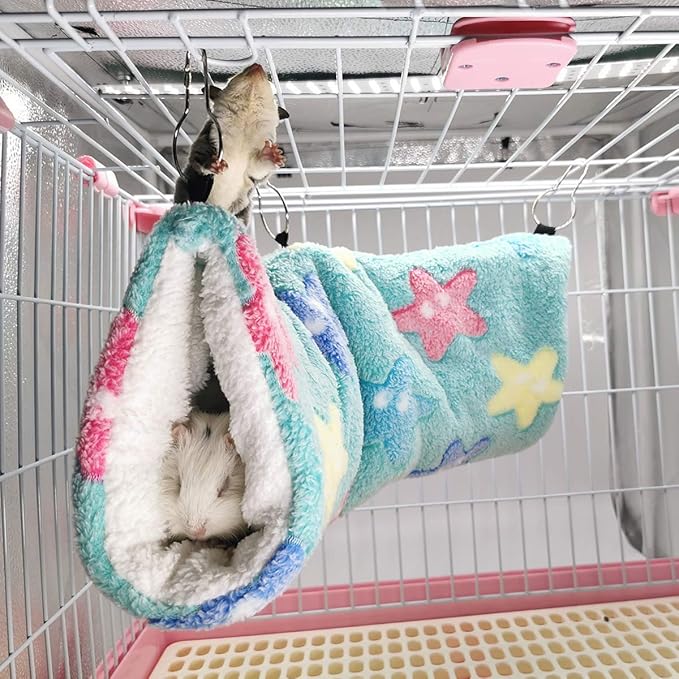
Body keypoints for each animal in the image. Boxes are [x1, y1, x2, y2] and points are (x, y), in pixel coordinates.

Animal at [173, 62, 289, 225]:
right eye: (234, 76)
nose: (257, 65)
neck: (245, 122)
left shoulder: (254, 165)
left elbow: (258, 170)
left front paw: (271, 154)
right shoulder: (210, 134)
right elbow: (199, 154)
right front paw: (214, 163)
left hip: (243, 210)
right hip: (186, 188)